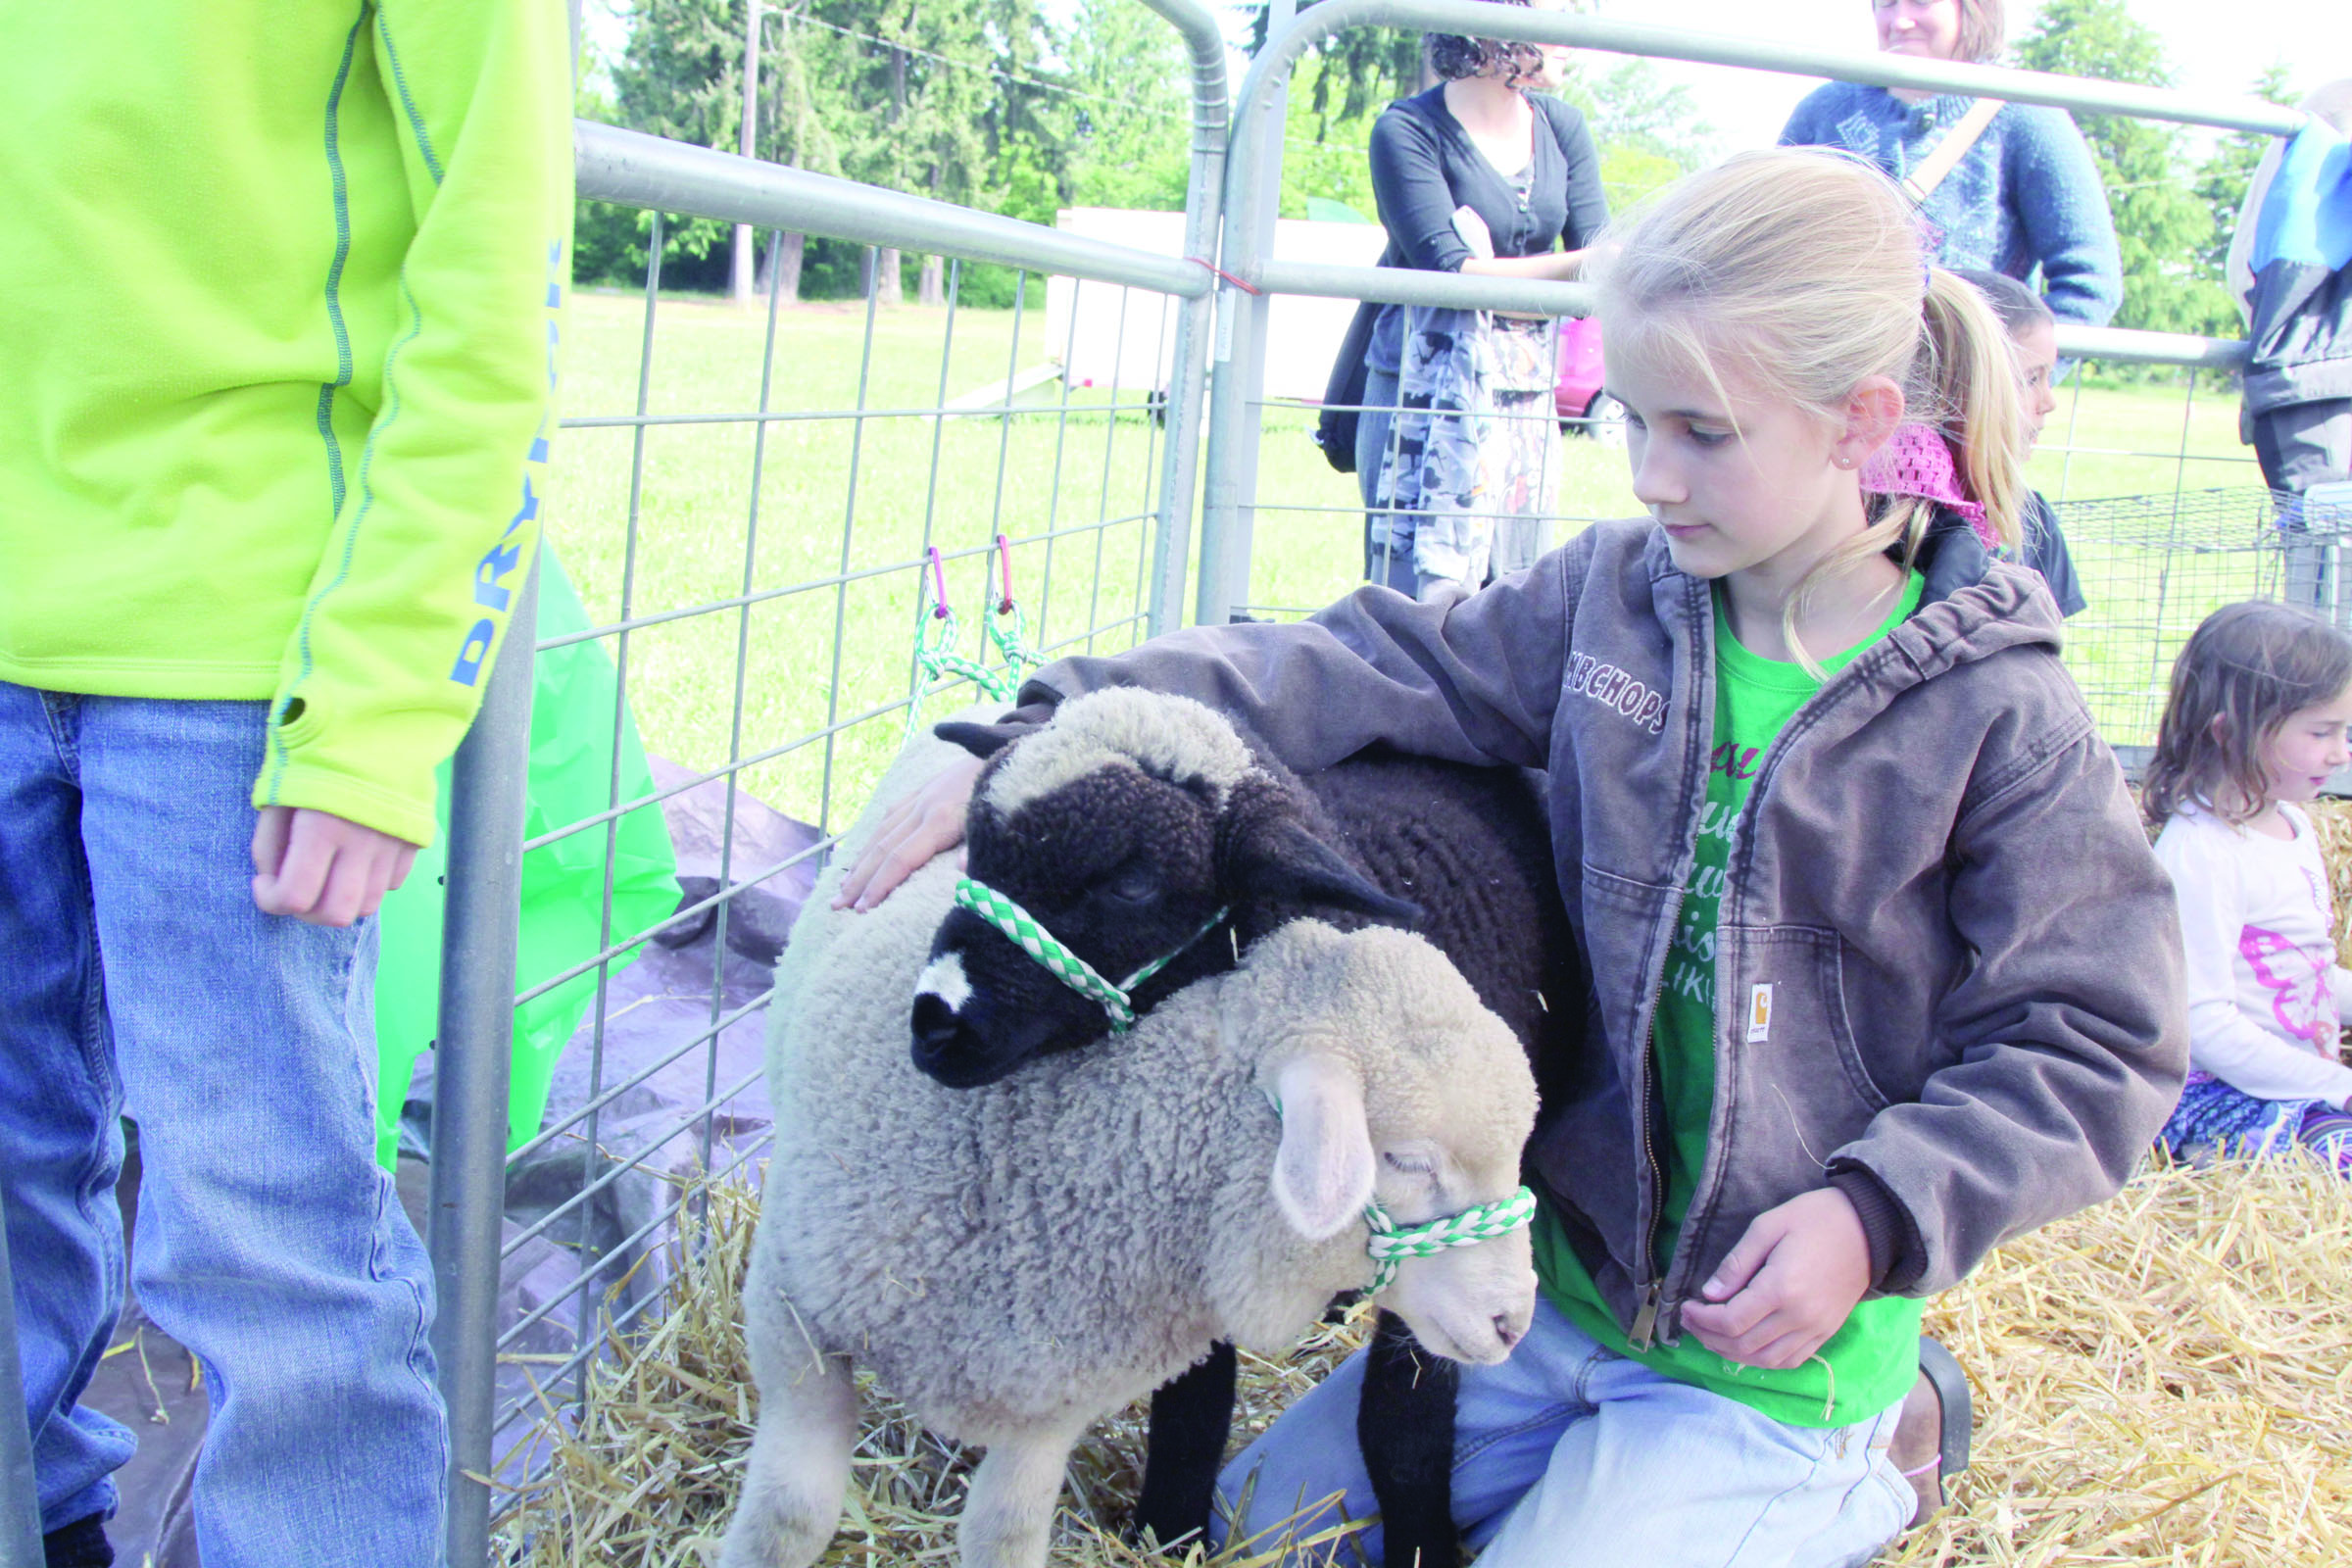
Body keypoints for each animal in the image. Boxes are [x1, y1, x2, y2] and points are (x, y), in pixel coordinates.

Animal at [714, 719, 1543, 1568]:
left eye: (1135, 885)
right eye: (974, 843)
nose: (935, 1024)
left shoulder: (1054, 1388)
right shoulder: (790, 1309)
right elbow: (789, 1517)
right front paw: (1170, 1530)